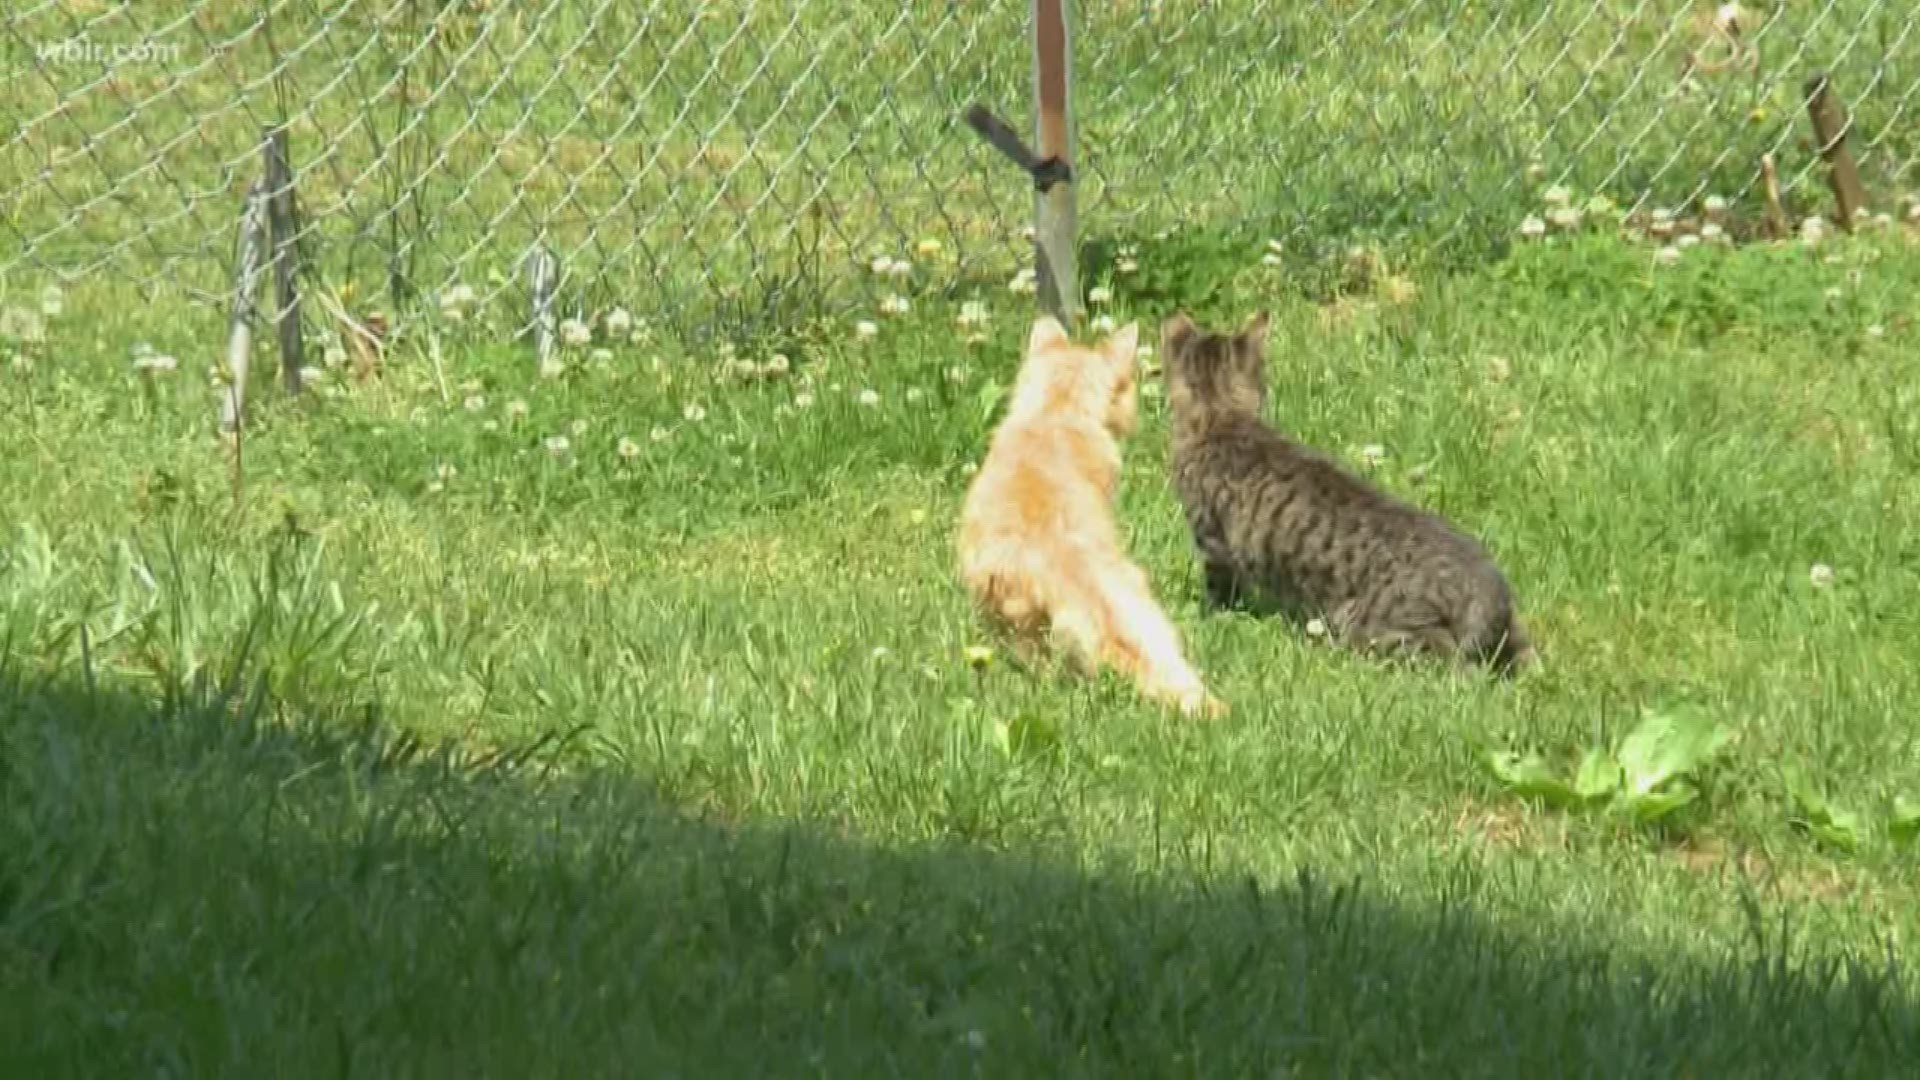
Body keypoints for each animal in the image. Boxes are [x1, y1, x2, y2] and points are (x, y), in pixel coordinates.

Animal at [1159, 307, 1536, 672]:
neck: (1220, 415)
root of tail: (1489, 591)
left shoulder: (1213, 543)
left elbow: (1219, 593)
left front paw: (1212, 619)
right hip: (1514, 634)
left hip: (1378, 628)